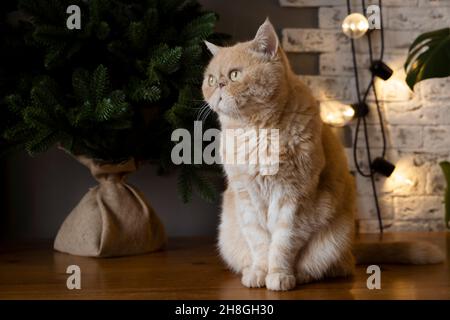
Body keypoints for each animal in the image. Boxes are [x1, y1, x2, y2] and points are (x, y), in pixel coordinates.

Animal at [202, 18, 444, 292]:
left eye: (234, 75)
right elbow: (260, 242)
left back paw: (303, 275)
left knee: (335, 267)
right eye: (210, 79)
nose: (218, 85)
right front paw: (259, 273)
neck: (257, 132)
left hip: (334, 240)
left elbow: (282, 243)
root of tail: (352, 248)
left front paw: (279, 275)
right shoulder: (245, 196)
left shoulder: (293, 196)